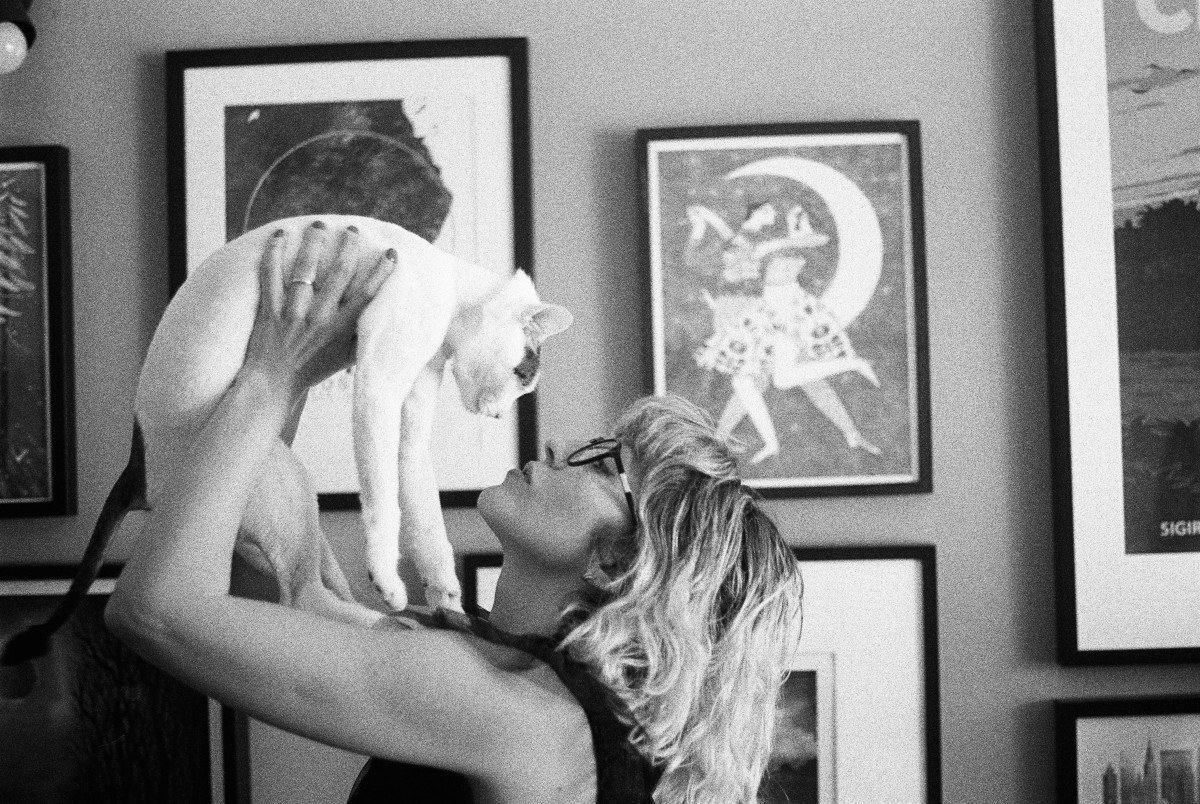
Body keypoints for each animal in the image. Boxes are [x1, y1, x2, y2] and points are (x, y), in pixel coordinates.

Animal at [1, 214, 571, 667]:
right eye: (525, 377)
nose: (499, 414)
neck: (452, 288)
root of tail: (139, 461)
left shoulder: (409, 423)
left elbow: (425, 517)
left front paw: (445, 595)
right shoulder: (378, 389)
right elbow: (384, 502)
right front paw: (391, 579)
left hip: (284, 512)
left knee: (308, 583)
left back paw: (397, 617)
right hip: (284, 475)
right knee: (300, 599)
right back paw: (387, 621)